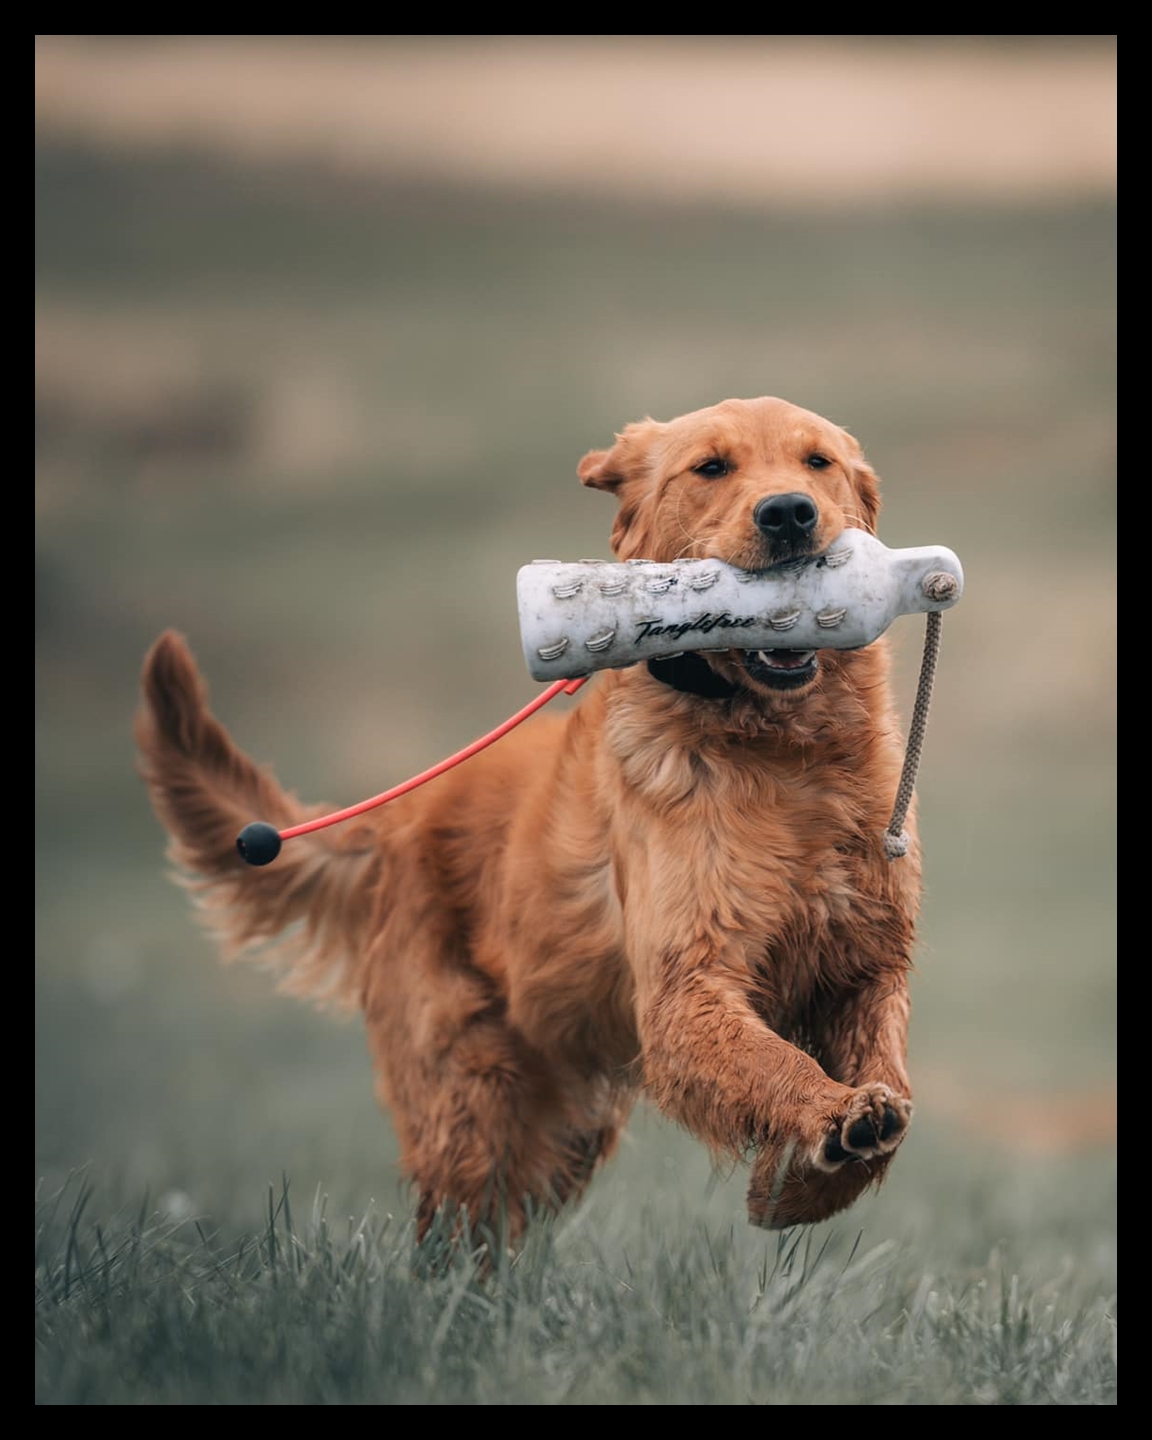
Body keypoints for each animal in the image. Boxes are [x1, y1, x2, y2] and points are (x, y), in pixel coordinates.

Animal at [135, 394, 921, 1249]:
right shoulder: (685, 991)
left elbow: (893, 1077)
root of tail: (401, 818)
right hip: (469, 1095)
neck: (787, 756)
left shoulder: (866, 962)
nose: (788, 514)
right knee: (456, 1232)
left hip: (566, 1125)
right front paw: (826, 1128)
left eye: (818, 462)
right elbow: (778, 1065)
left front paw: (799, 1184)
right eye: (711, 467)